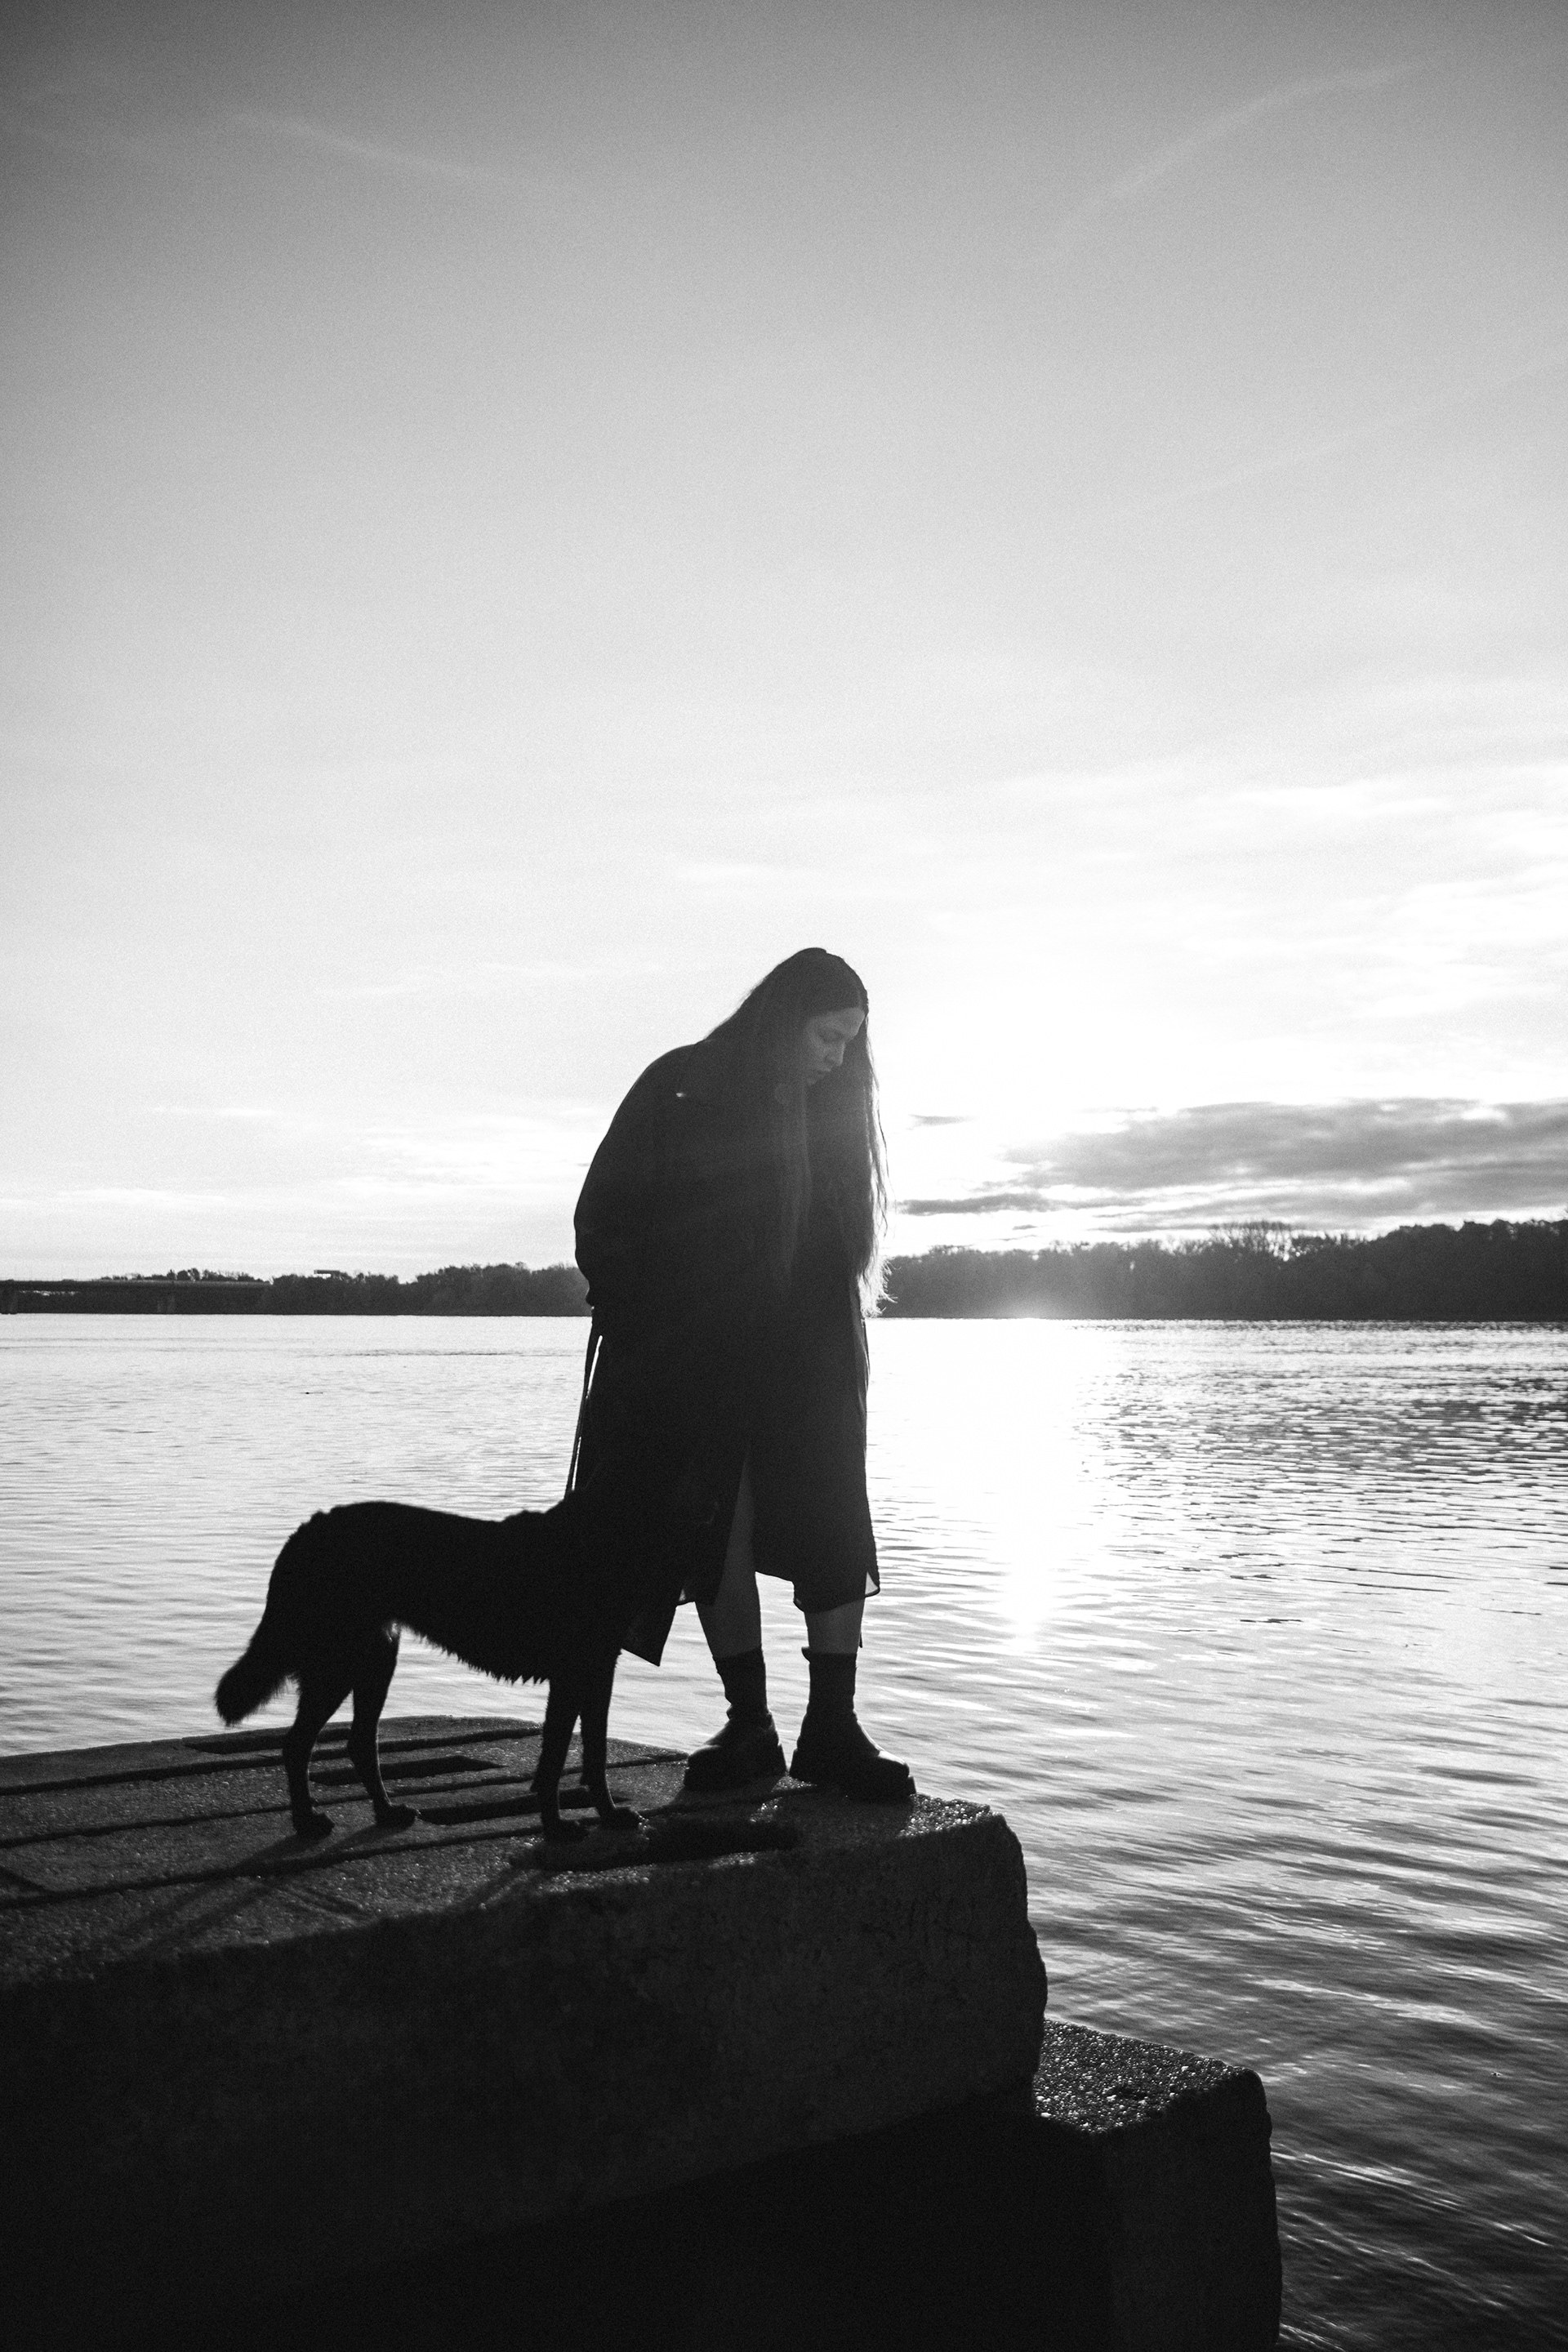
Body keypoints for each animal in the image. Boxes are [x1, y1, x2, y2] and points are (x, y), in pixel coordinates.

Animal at [215, 1498, 642, 1845]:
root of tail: (307, 1531)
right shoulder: (574, 1673)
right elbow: (556, 1759)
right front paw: (555, 1827)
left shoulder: (598, 1669)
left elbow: (595, 1753)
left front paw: (609, 1816)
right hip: (338, 1666)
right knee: (298, 1744)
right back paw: (306, 1822)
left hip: (376, 1658)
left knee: (359, 1742)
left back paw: (386, 1812)